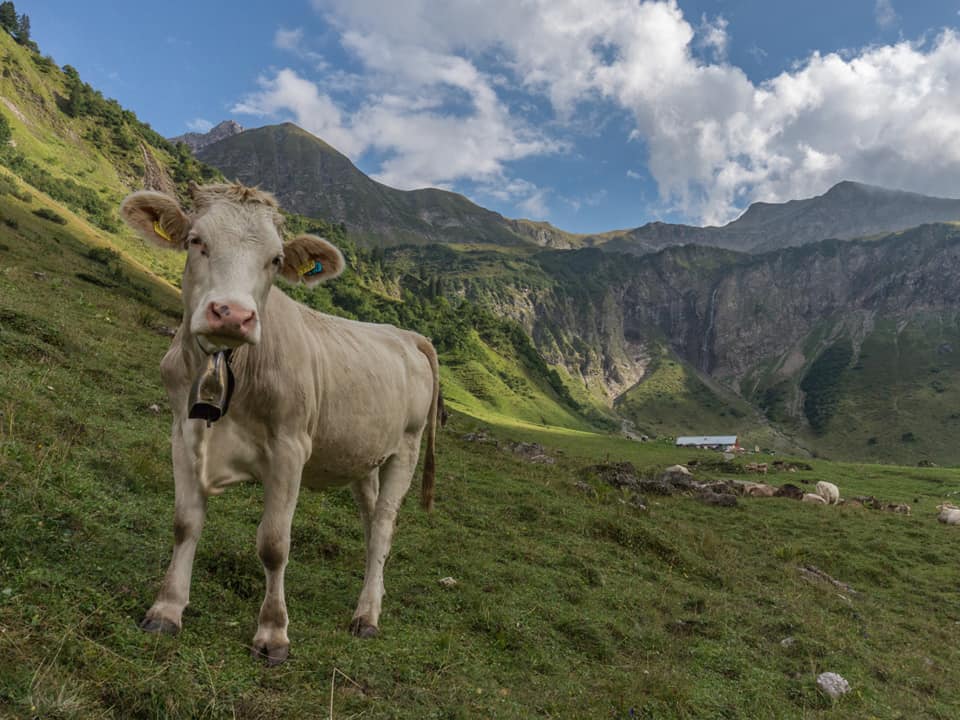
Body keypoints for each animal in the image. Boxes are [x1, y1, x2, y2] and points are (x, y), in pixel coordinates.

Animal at [122, 183, 444, 668]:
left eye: (275, 259)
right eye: (196, 240)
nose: (232, 314)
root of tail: (405, 333)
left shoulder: (290, 449)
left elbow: (274, 544)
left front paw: (273, 634)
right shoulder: (183, 432)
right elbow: (185, 523)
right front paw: (166, 609)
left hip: (406, 447)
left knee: (385, 525)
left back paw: (367, 615)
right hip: (364, 455)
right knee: (372, 526)